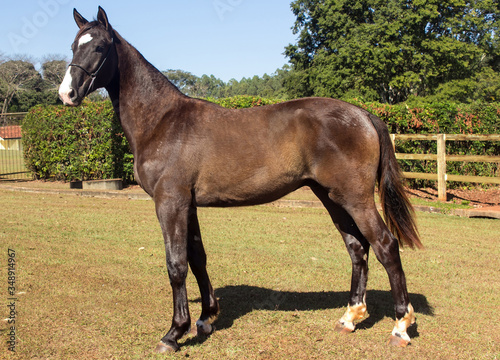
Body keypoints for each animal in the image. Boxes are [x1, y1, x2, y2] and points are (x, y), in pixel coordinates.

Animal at [60, 7, 424, 352]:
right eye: (73, 46)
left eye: (100, 46)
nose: (67, 94)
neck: (163, 121)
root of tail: (363, 113)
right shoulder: (188, 205)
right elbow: (198, 259)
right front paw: (206, 319)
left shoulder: (170, 202)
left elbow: (176, 264)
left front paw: (174, 333)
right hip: (332, 197)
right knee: (357, 248)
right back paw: (350, 317)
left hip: (356, 198)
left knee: (385, 246)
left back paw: (400, 326)